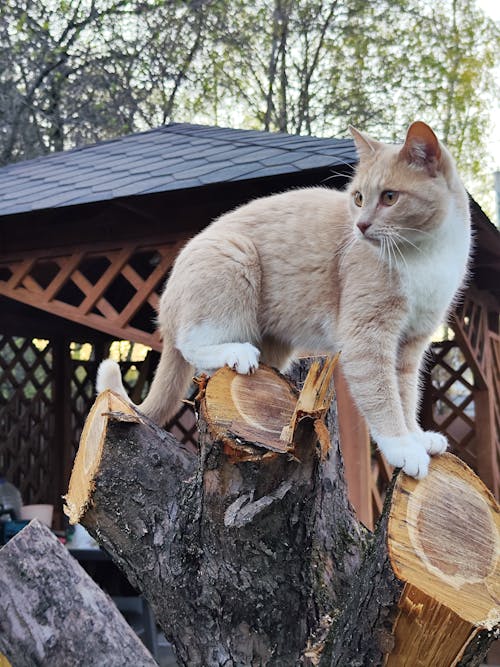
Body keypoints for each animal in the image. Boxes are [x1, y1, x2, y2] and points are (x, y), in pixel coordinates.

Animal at [96, 121, 468, 480]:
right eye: (359, 198)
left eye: (390, 197)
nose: (361, 226)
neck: (425, 256)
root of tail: (167, 309)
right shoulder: (367, 337)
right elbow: (382, 396)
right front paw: (403, 448)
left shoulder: (411, 344)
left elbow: (405, 395)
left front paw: (416, 437)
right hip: (234, 258)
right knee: (193, 345)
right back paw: (235, 353)